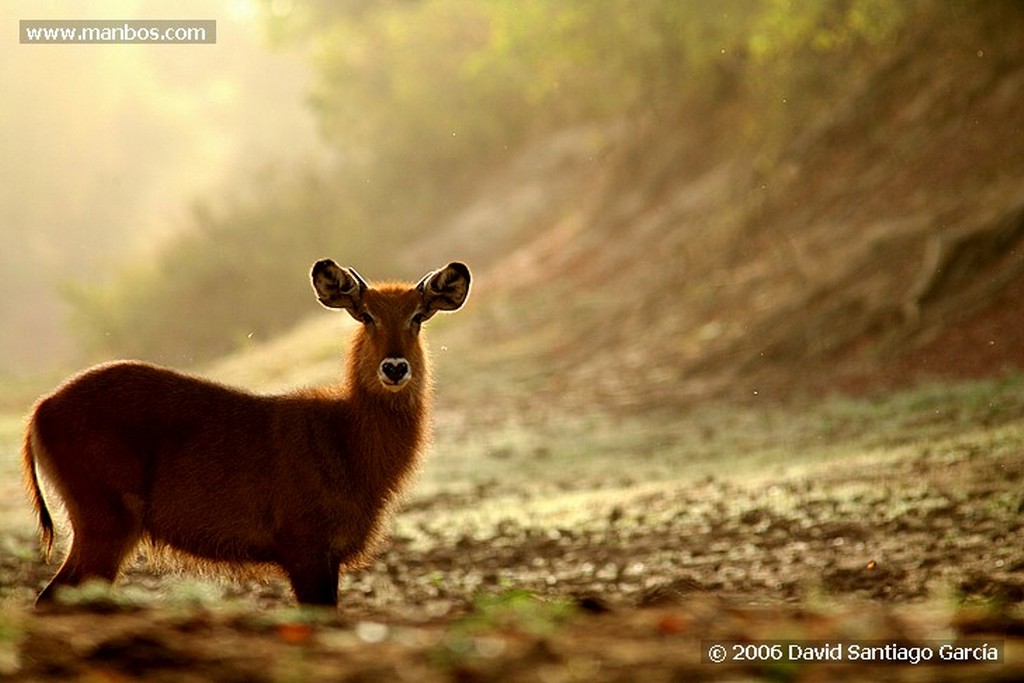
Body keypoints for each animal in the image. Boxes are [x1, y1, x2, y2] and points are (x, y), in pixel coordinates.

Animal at [23, 259, 471, 606]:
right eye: (365, 314)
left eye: (418, 316)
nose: (394, 368)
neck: (345, 438)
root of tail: (40, 409)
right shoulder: (305, 547)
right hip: (106, 520)